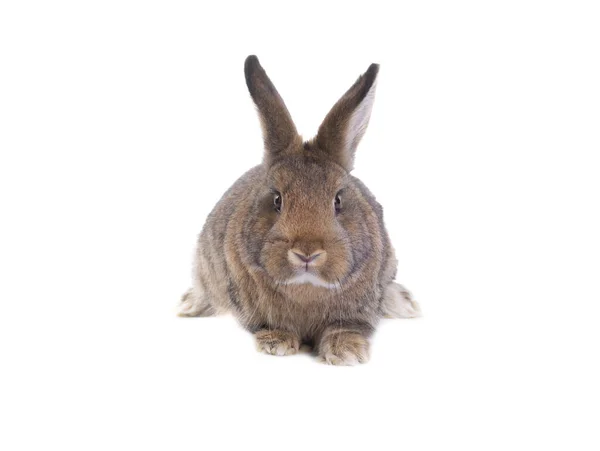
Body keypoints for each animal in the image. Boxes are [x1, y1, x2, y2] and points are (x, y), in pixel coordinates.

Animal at [179, 54, 422, 366]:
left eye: (337, 200)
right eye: (277, 199)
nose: (307, 253)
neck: (306, 289)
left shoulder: (359, 311)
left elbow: (345, 329)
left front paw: (347, 353)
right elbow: (271, 326)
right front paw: (277, 344)